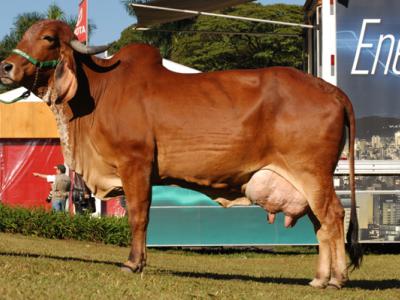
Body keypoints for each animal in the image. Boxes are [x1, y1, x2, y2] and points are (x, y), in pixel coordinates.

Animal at [0, 19, 362, 288]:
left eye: (48, 37)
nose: (6, 66)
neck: (99, 94)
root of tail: (331, 90)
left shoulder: (136, 165)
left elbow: (139, 215)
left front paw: (133, 263)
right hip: (307, 182)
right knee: (320, 224)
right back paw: (320, 278)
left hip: (313, 173)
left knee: (333, 217)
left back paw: (337, 279)